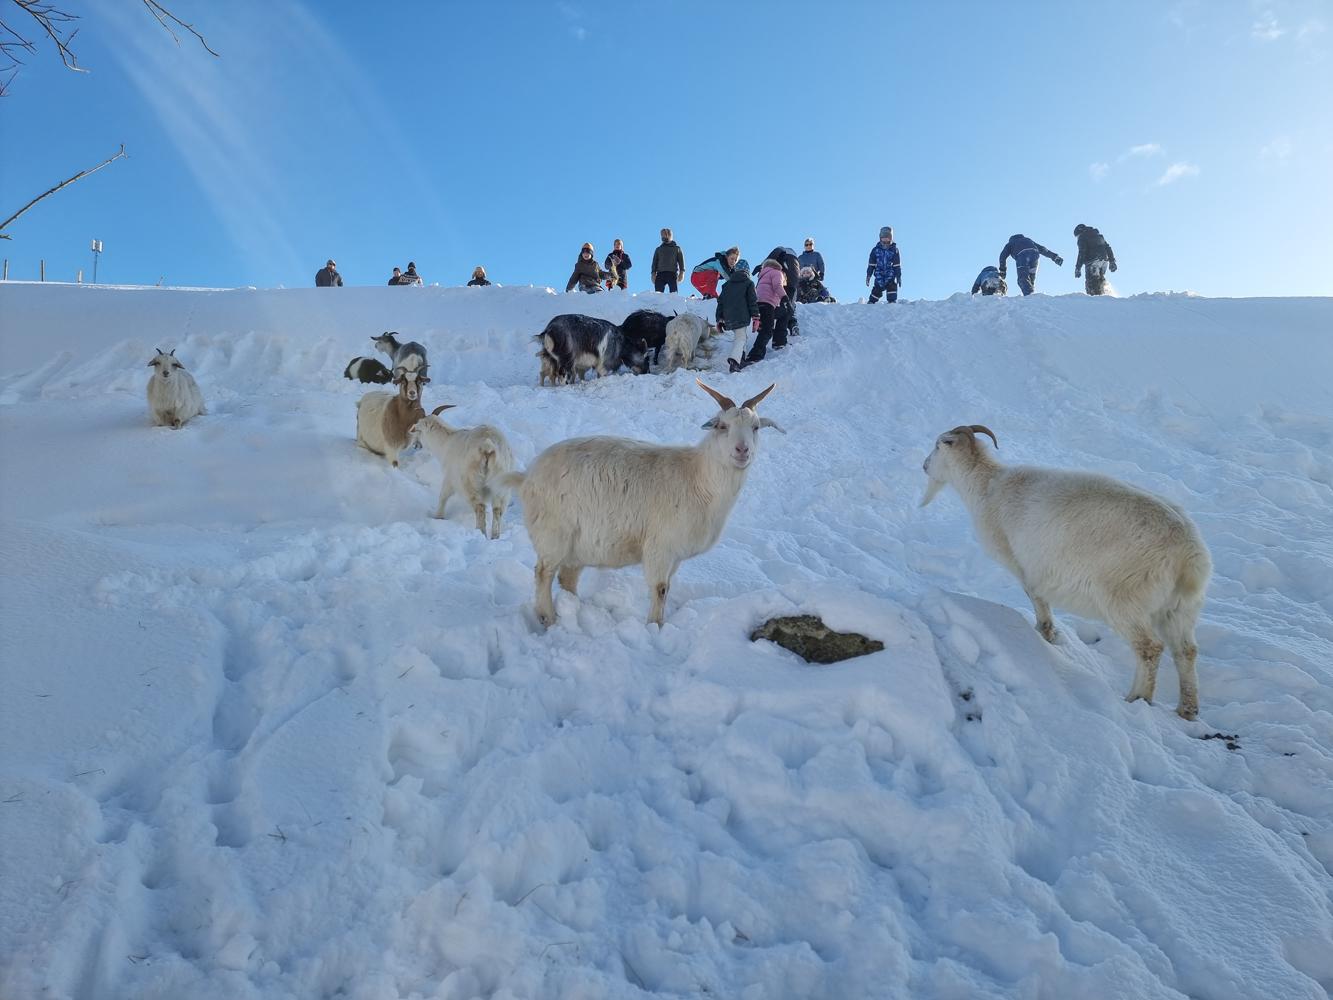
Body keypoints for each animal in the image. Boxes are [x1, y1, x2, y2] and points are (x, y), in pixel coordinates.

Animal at [409, 404, 516, 538]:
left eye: (418, 430)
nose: (416, 445)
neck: (447, 441)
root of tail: (488, 447)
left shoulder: (450, 478)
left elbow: (443, 496)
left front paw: (438, 516)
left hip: (471, 483)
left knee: (480, 507)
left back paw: (480, 532)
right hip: (501, 484)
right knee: (498, 509)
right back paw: (495, 536)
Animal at [503, 379, 784, 627]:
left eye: (756, 427)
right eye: (722, 426)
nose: (742, 450)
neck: (698, 478)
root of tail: (527, 476)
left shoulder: (675, 555)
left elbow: (666, 588)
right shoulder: (660, 546)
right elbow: (660, 588)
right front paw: (655, 627)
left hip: (579, 543)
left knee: (567, 576)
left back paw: (573, 607)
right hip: (553, 533)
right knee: (543, 573)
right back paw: (548, 618)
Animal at [920, 425, 1212, 719]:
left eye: (938, 445)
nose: (924, 465)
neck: (987, 484)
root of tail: (1188, 555)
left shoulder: (1022, 564)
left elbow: (1038, 600)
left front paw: (1044, 634)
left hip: (1125, 598)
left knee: (1150, 648)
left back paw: (1137, 698)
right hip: (1179, 608)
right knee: (1186, 651)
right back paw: (1186, 709)